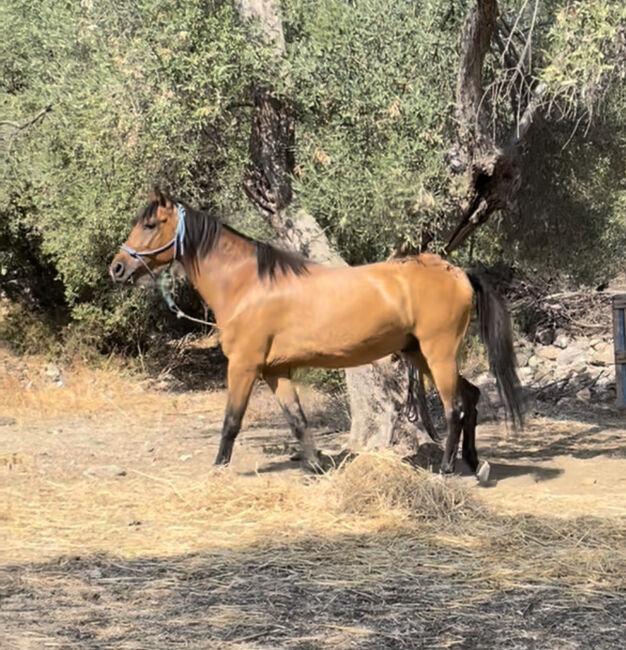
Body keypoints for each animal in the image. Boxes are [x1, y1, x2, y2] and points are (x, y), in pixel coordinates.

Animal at [109, 190, 520, 474]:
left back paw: (447, 468)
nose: (117, 267)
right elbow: (297, 420)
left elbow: (231, 421)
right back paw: (473, 462)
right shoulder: (275, 371)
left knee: (455, 407)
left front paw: (218, 469)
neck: (248, 283)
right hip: (422, 355)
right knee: (471, 396)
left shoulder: (243, 366)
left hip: (438, 352)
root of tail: (457, 271)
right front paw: (316, 465)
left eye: (150, 224)